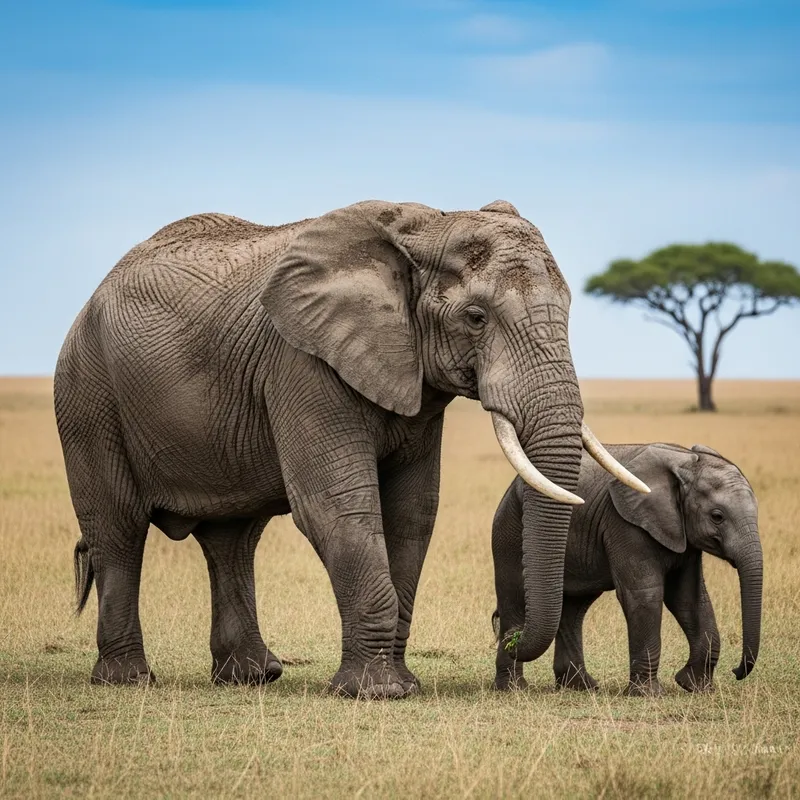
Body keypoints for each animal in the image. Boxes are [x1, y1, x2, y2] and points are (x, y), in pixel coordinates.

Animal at [54, 198, 648, 698]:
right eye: (476, 318)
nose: (506, 632)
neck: (425, 225)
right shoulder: (301, 361)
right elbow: (338, 507)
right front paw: (378, 692)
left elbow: (413, 512)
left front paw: (400, 686)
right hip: (87, 392)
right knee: (119, 528)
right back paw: (128, 681)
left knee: (232, 539)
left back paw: (252, 677)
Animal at [492, 442, 762, 696]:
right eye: (717, 516)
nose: (736, 671)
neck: (685, 461)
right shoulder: (625, 522)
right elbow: (644, 595)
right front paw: (648, 695)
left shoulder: (683, 536)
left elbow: (688, 598)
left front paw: (695, 687)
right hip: (509, 532)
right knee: (515, 600)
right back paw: (514, 687)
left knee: (574, 609)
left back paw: (579, 686)